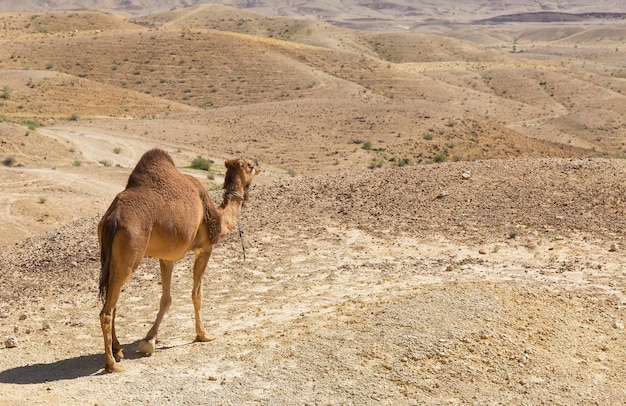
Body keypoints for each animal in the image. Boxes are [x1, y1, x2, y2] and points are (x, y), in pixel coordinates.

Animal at [96, 147, 258, 372]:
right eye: (250, 166)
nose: (258, 164)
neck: (219, 216)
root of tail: (112, 218)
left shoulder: (167, 258)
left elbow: (166, 299)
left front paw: (149, 340)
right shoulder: (205, 248)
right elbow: (197, 294)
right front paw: (203, 335)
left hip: (110, 256)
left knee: (112, 302)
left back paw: (118, 350)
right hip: (130, 253)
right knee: (107, 311)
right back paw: (112, 363)